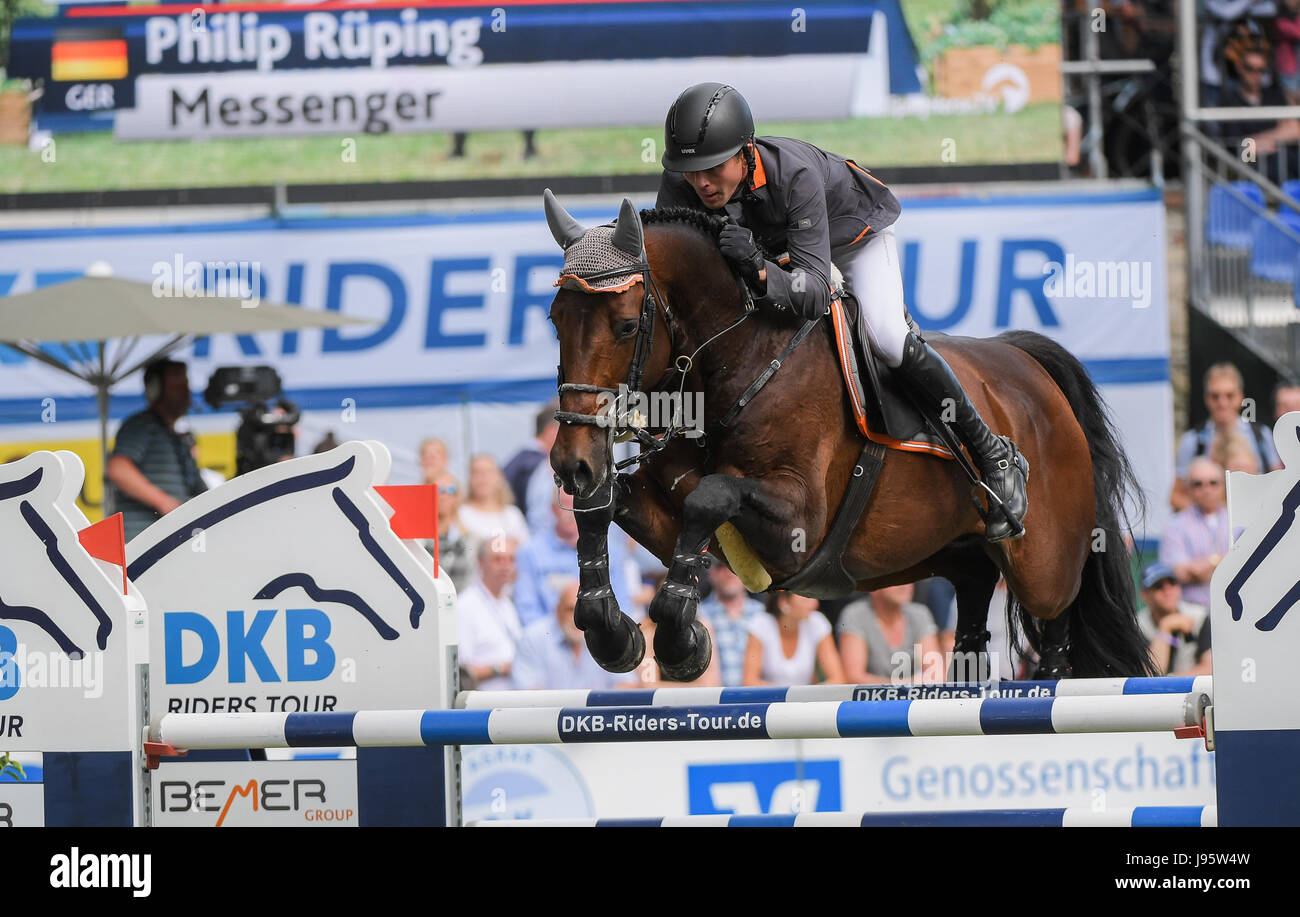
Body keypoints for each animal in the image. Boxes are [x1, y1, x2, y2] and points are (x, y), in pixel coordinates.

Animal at [543, 191, 1154, 681]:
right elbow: (608, 505)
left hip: (1045, 566)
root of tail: (1032, 369)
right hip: (951, 552)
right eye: (554, 319)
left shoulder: (800, 523)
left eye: (626, 325)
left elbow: (710, 495)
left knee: (1058, 622)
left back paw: (1007, 483)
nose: (572, 463)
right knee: (975, 600)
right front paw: (609, 629)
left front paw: (676, 639)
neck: (740, 359)